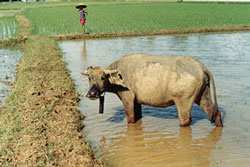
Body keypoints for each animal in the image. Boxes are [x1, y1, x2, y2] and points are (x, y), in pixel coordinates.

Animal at [81, 54, 223, 127]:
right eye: (89, 77)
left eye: (103, 77)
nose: (92, 94)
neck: (119, 77)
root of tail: (201, 67)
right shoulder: (136, 101)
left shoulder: (128, 98)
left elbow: (131, 118)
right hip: (202, 95)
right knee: (215, 113)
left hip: (184, 101)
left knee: (185, 121)